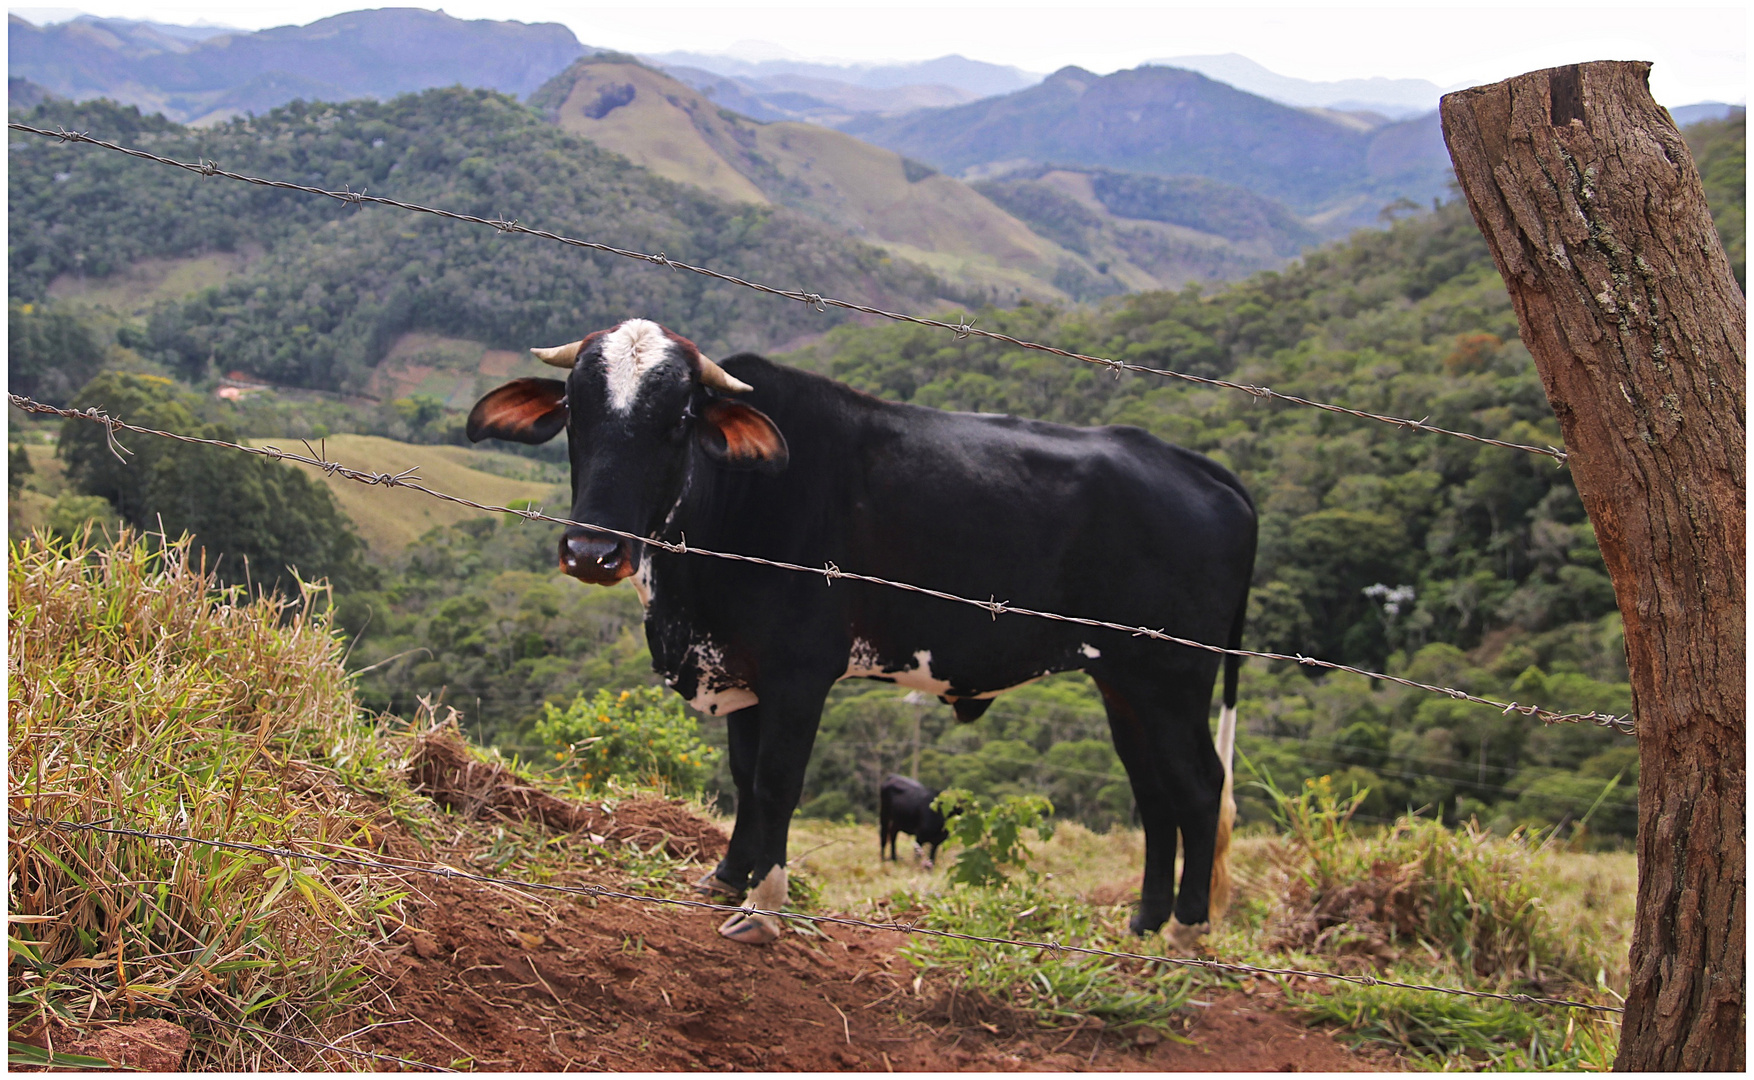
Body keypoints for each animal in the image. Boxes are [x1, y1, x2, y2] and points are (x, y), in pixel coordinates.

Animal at [470, 319, 1262, 946]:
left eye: (678, 420)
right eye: (575, 413)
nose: (592, 552)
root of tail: (1195, 465)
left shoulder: (799, 672)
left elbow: (777, 781)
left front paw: (765, 907)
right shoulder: (744, 666)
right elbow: (744, 778)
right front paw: (728, 877)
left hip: (1172, 679)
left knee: (1199, 789)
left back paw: (1187, 931)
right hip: (1122, 682)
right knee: (1154, 794)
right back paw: (1144, 923)